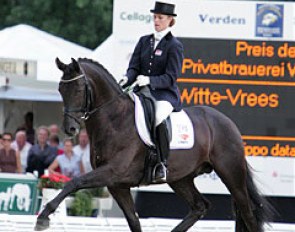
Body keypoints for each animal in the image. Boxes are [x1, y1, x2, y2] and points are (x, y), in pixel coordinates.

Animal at [35, 58, 276, 232]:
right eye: (60, 89)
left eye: (78, 90)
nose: (70, 129)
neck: (114, 120)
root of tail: (228, 123)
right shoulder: (117, 184)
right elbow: (134, 221)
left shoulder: (112, 172)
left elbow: (74, 182)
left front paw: (44, 217)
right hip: (180, 178)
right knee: (200, 206)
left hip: (231, 174)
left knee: (248, 214)